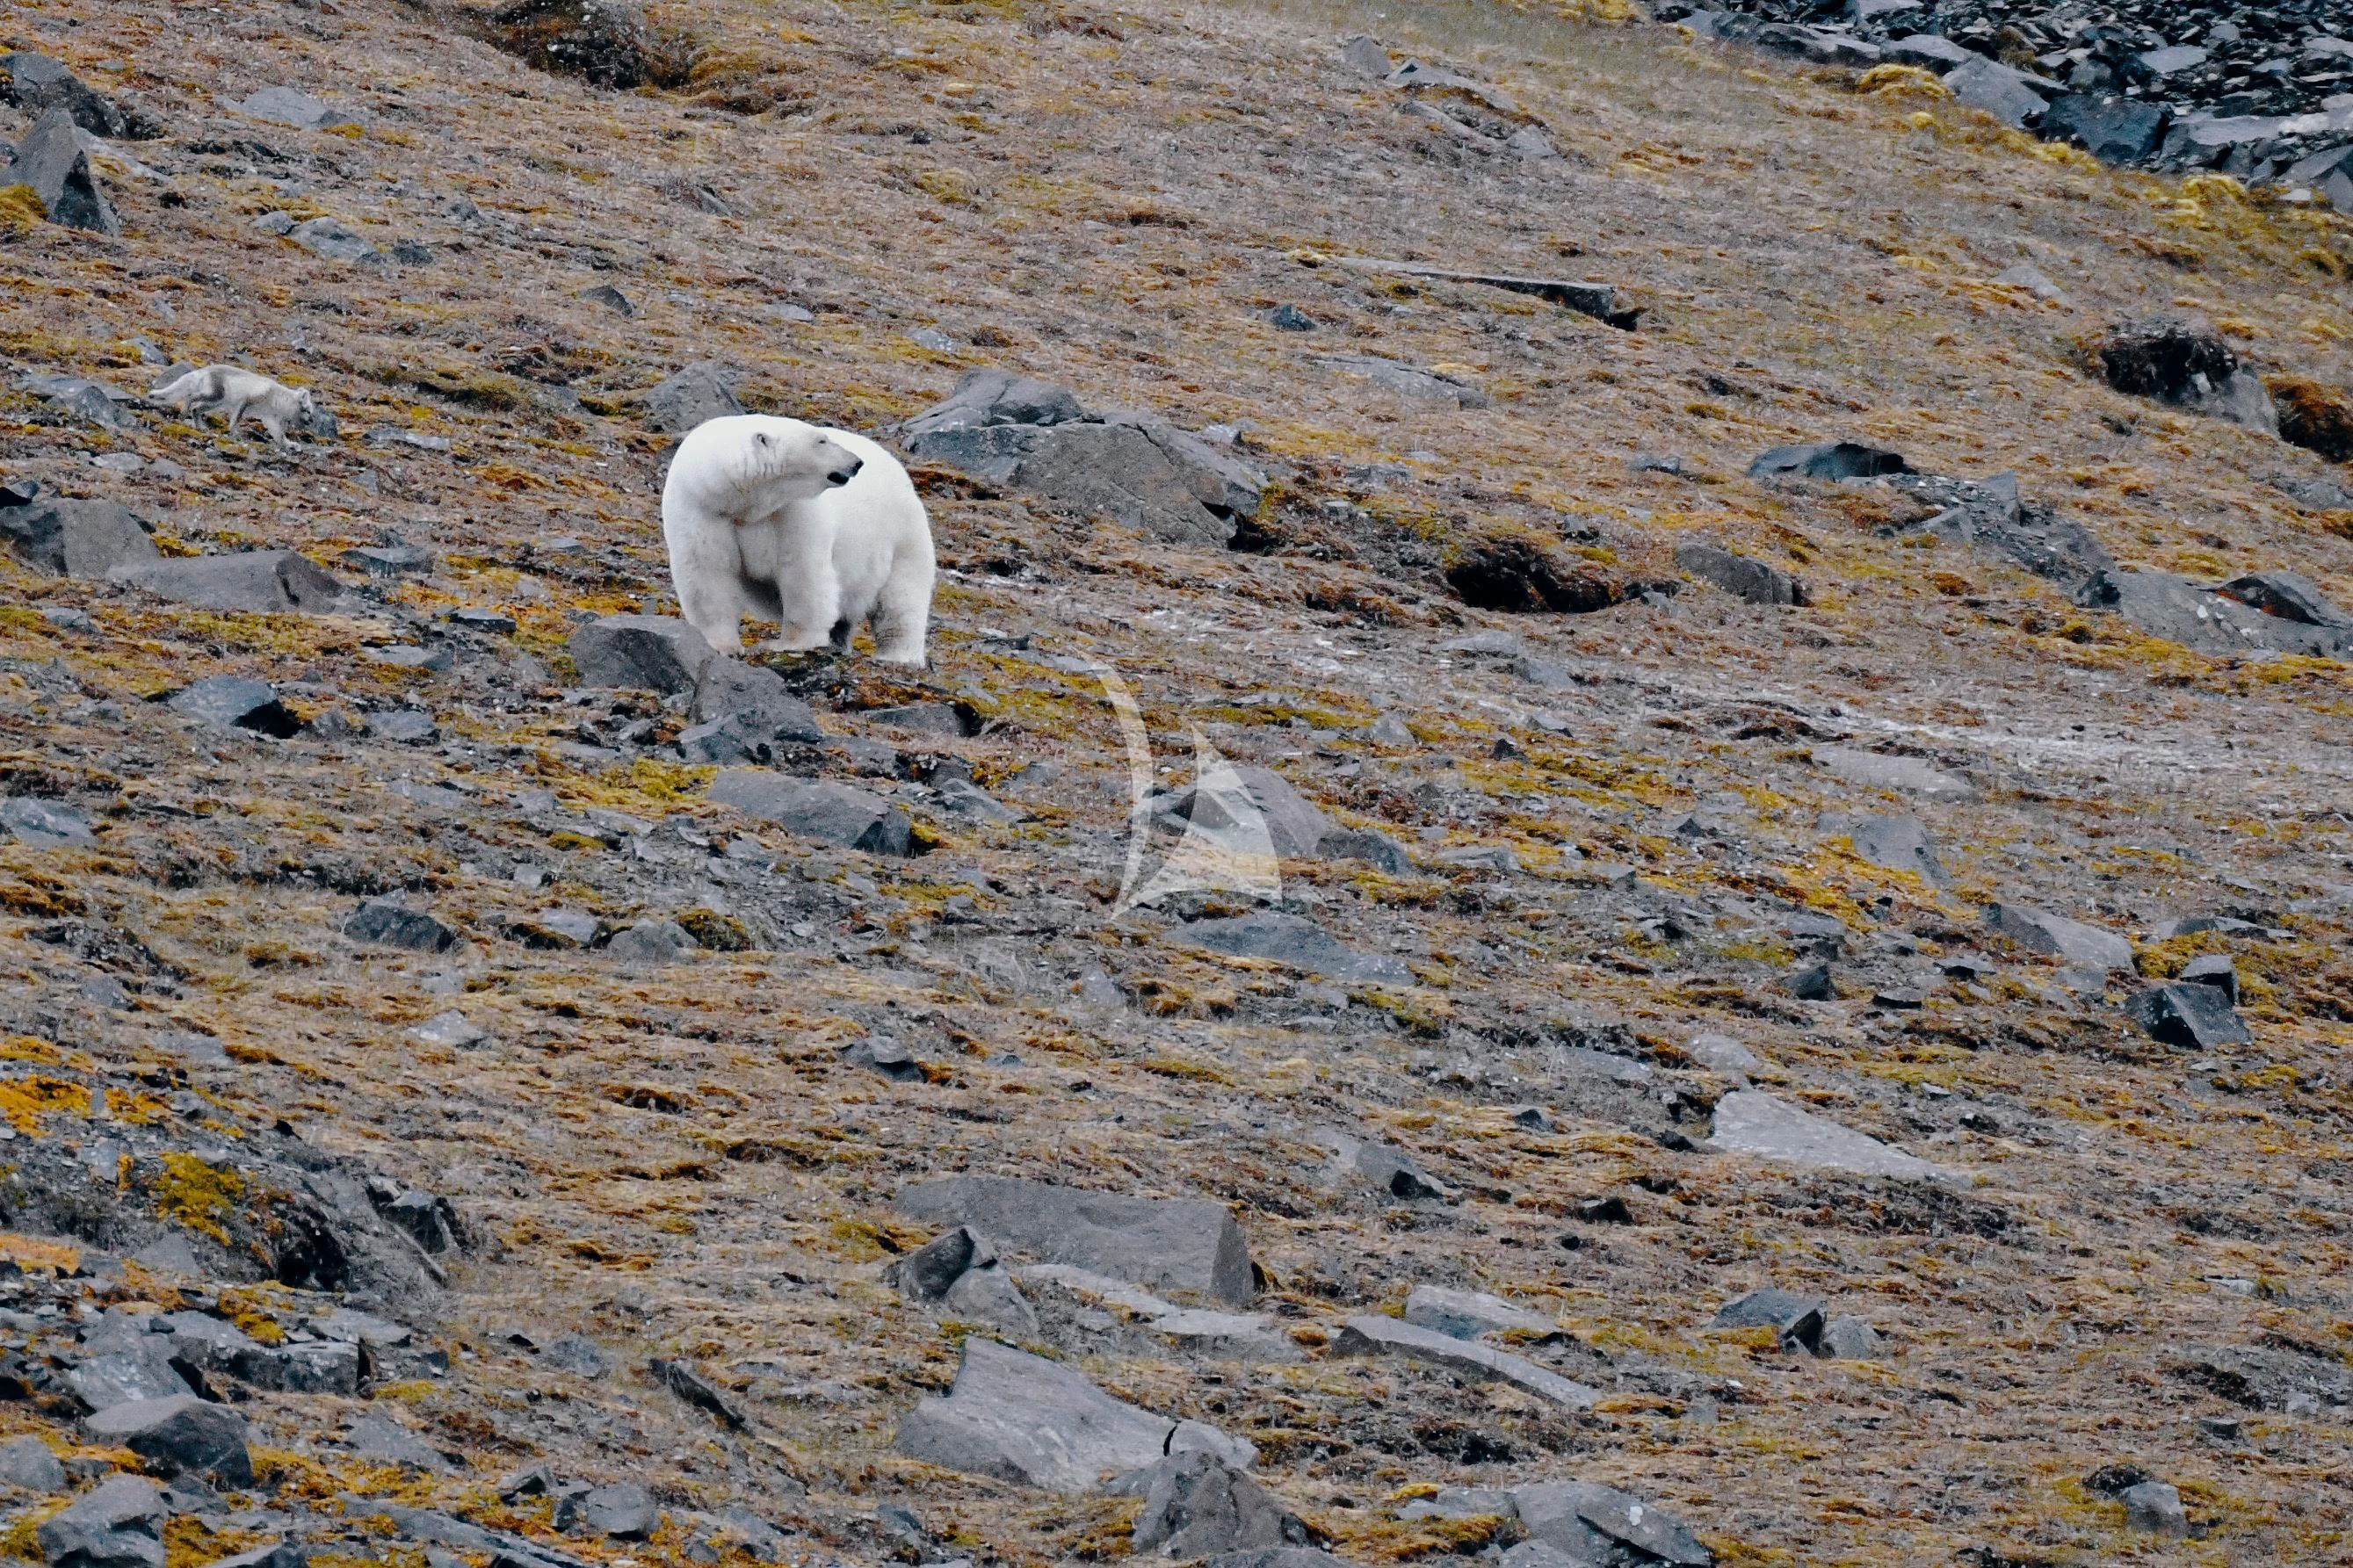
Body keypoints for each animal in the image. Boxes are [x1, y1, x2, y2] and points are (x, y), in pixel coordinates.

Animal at [661, 414, 936, 666]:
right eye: (822, 440)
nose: (857, 462)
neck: (744, 506)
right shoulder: (701, 509)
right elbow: (707, 574)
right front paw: (723, 645)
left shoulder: (792, 513)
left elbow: (802, 573)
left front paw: (789, 643)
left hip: (902, 534)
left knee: (902, 599)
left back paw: (897, 655)